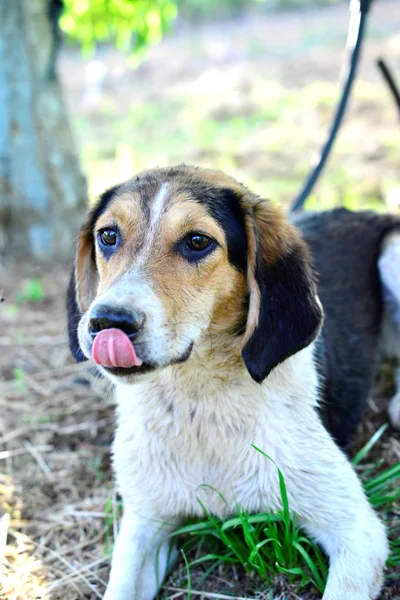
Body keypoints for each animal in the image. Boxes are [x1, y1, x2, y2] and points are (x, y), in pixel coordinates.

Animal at [66, 166, 400, 600]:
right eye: (108, 235)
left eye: (197, 242)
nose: (107, 322)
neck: (199, 402)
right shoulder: (145, 521)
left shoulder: (359, 532)